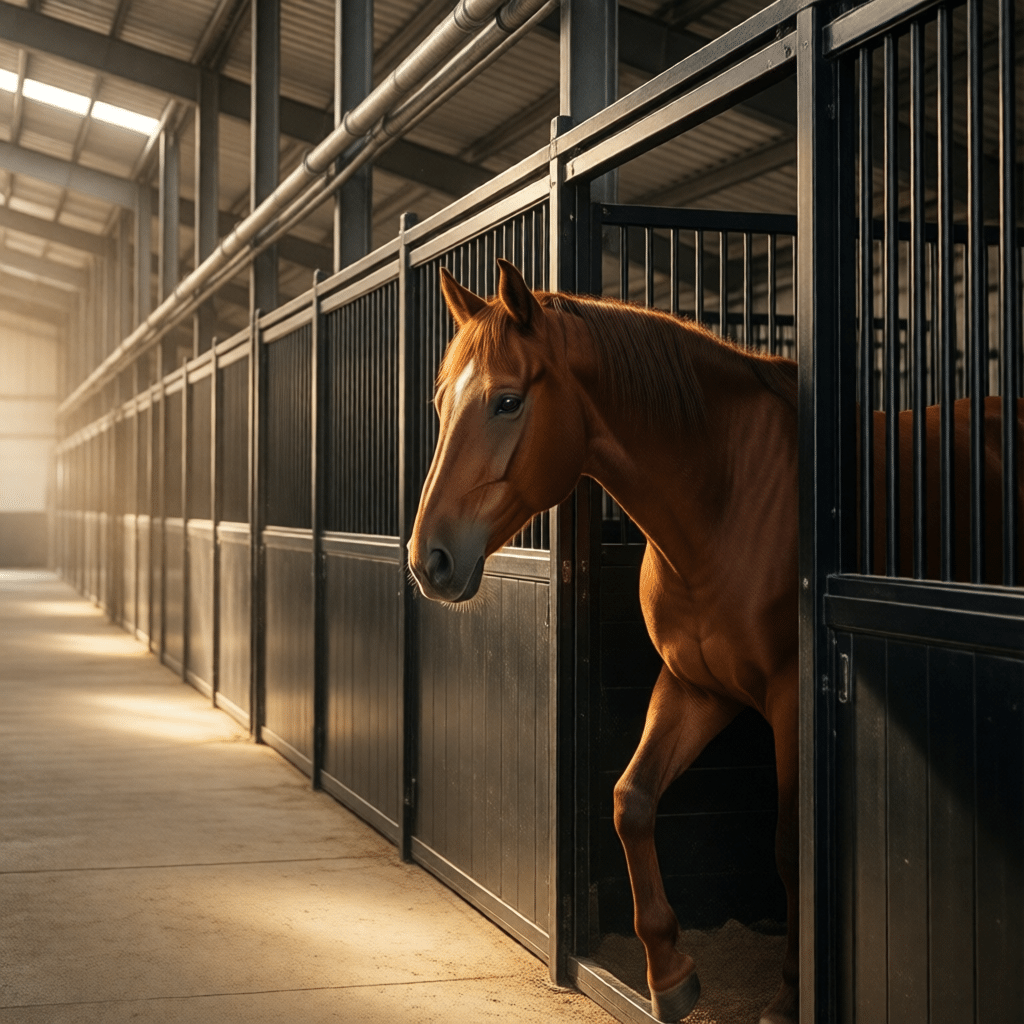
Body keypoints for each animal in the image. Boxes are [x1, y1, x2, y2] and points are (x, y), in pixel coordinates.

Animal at [407, 257, 1023, 1024]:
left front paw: (787, 995)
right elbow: (632, 800)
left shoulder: (790, 699)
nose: (427, 559)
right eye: (440, 403)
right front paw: (669, 973)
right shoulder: (692, 687)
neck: (722, 498)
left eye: (508, 401)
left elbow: (789, 846)